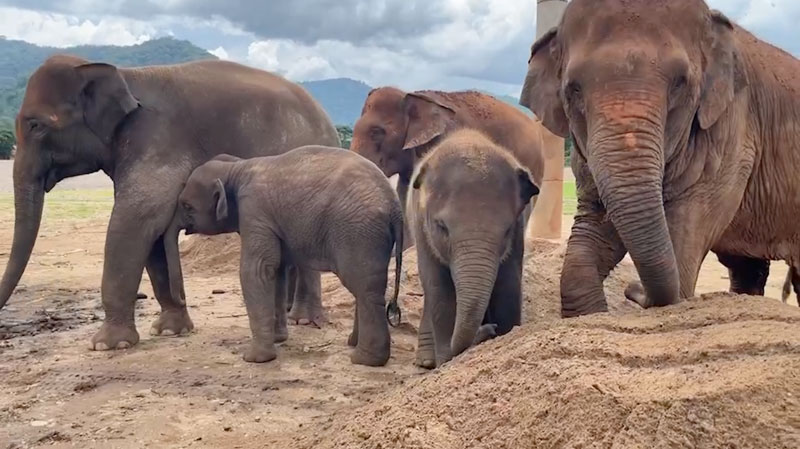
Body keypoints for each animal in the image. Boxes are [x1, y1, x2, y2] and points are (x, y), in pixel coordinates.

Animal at [0, 56, 340, 348]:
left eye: (35, 125)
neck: (124, 75)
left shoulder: (156, 139)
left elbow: (136, 219)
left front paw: (107, 345)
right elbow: (149, 230)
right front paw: (170, 330)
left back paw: (304, 320)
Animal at [163, 147, 404, 364]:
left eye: (187, 206)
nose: (182, 297)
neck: (235, 168)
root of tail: (395, 207)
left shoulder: (254, 211)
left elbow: (256, 271)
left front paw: (254, 358)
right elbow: (277, 271)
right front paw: (278, 339)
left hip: (358, 233)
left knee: (364, 288)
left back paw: (364, 360)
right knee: (364, 286)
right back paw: (353, 344)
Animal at [410, 130, 540, 368]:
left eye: (507, 230)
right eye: (441, 227)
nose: (490, 329)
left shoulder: (517, 235)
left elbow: (508, 284)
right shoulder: (420, 226)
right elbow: (438, 288)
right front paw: (444, 362)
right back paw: (426, 361)